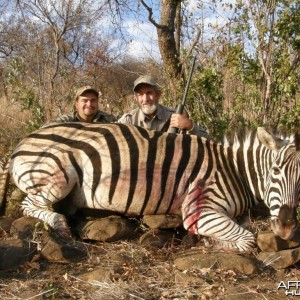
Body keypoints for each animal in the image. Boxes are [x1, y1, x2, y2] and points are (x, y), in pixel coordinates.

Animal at [5, 122, 298, 251]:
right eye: (275, 171)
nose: (286, 227)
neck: (233, 169)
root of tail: (24, 139)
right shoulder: (199, 210)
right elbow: (246, 240)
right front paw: (212, 242)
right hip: (57, 177)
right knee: (31, 204)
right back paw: (61, 225)